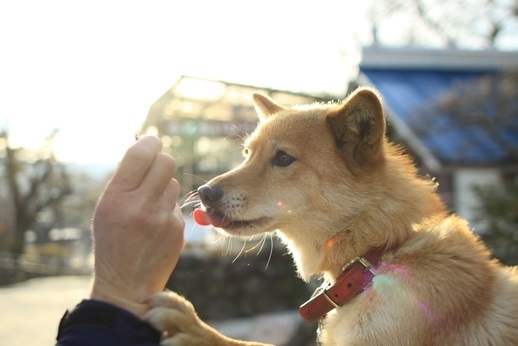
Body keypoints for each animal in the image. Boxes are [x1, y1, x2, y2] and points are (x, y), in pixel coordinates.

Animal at [147, 87, 518, 346]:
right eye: (247, 154)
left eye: (283, 158)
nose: (204, 194)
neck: (376, 256)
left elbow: (249, 344)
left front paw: (196, 330)